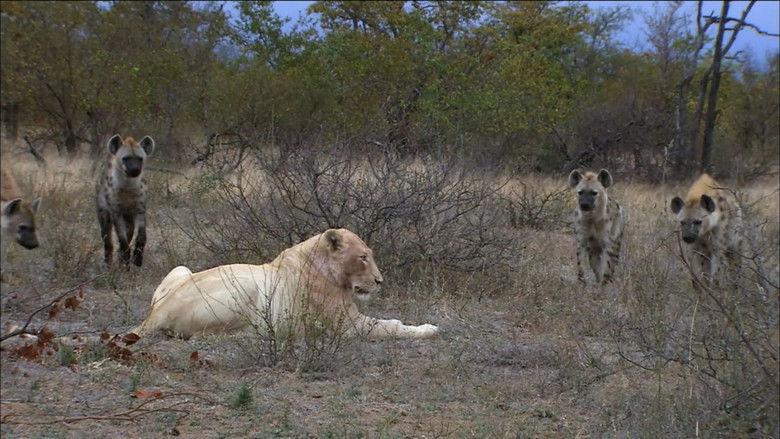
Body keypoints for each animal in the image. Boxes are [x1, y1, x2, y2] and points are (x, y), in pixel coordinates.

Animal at [130, 228, 440, 340]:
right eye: (363, 257)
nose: (379, 281)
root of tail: (156, 314)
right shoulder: (349, 325)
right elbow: (391, 327)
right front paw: (428, 329)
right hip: (248, 285)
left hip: (181, 269)